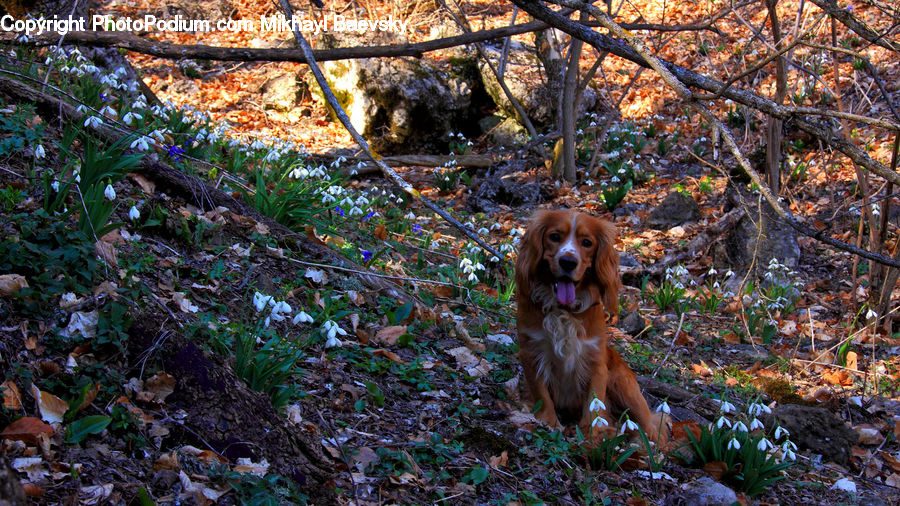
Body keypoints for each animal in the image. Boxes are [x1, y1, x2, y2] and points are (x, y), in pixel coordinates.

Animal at [516, 210, 664, 442]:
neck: (564, 310)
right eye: (554, 237)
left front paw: (591, 434)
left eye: (587, 242)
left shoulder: (594, 361)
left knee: (652, 428)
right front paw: (549, 422)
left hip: (625, 387)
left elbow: (594, 403)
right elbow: (542, 393)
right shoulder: (531, 352)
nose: (568, 262)